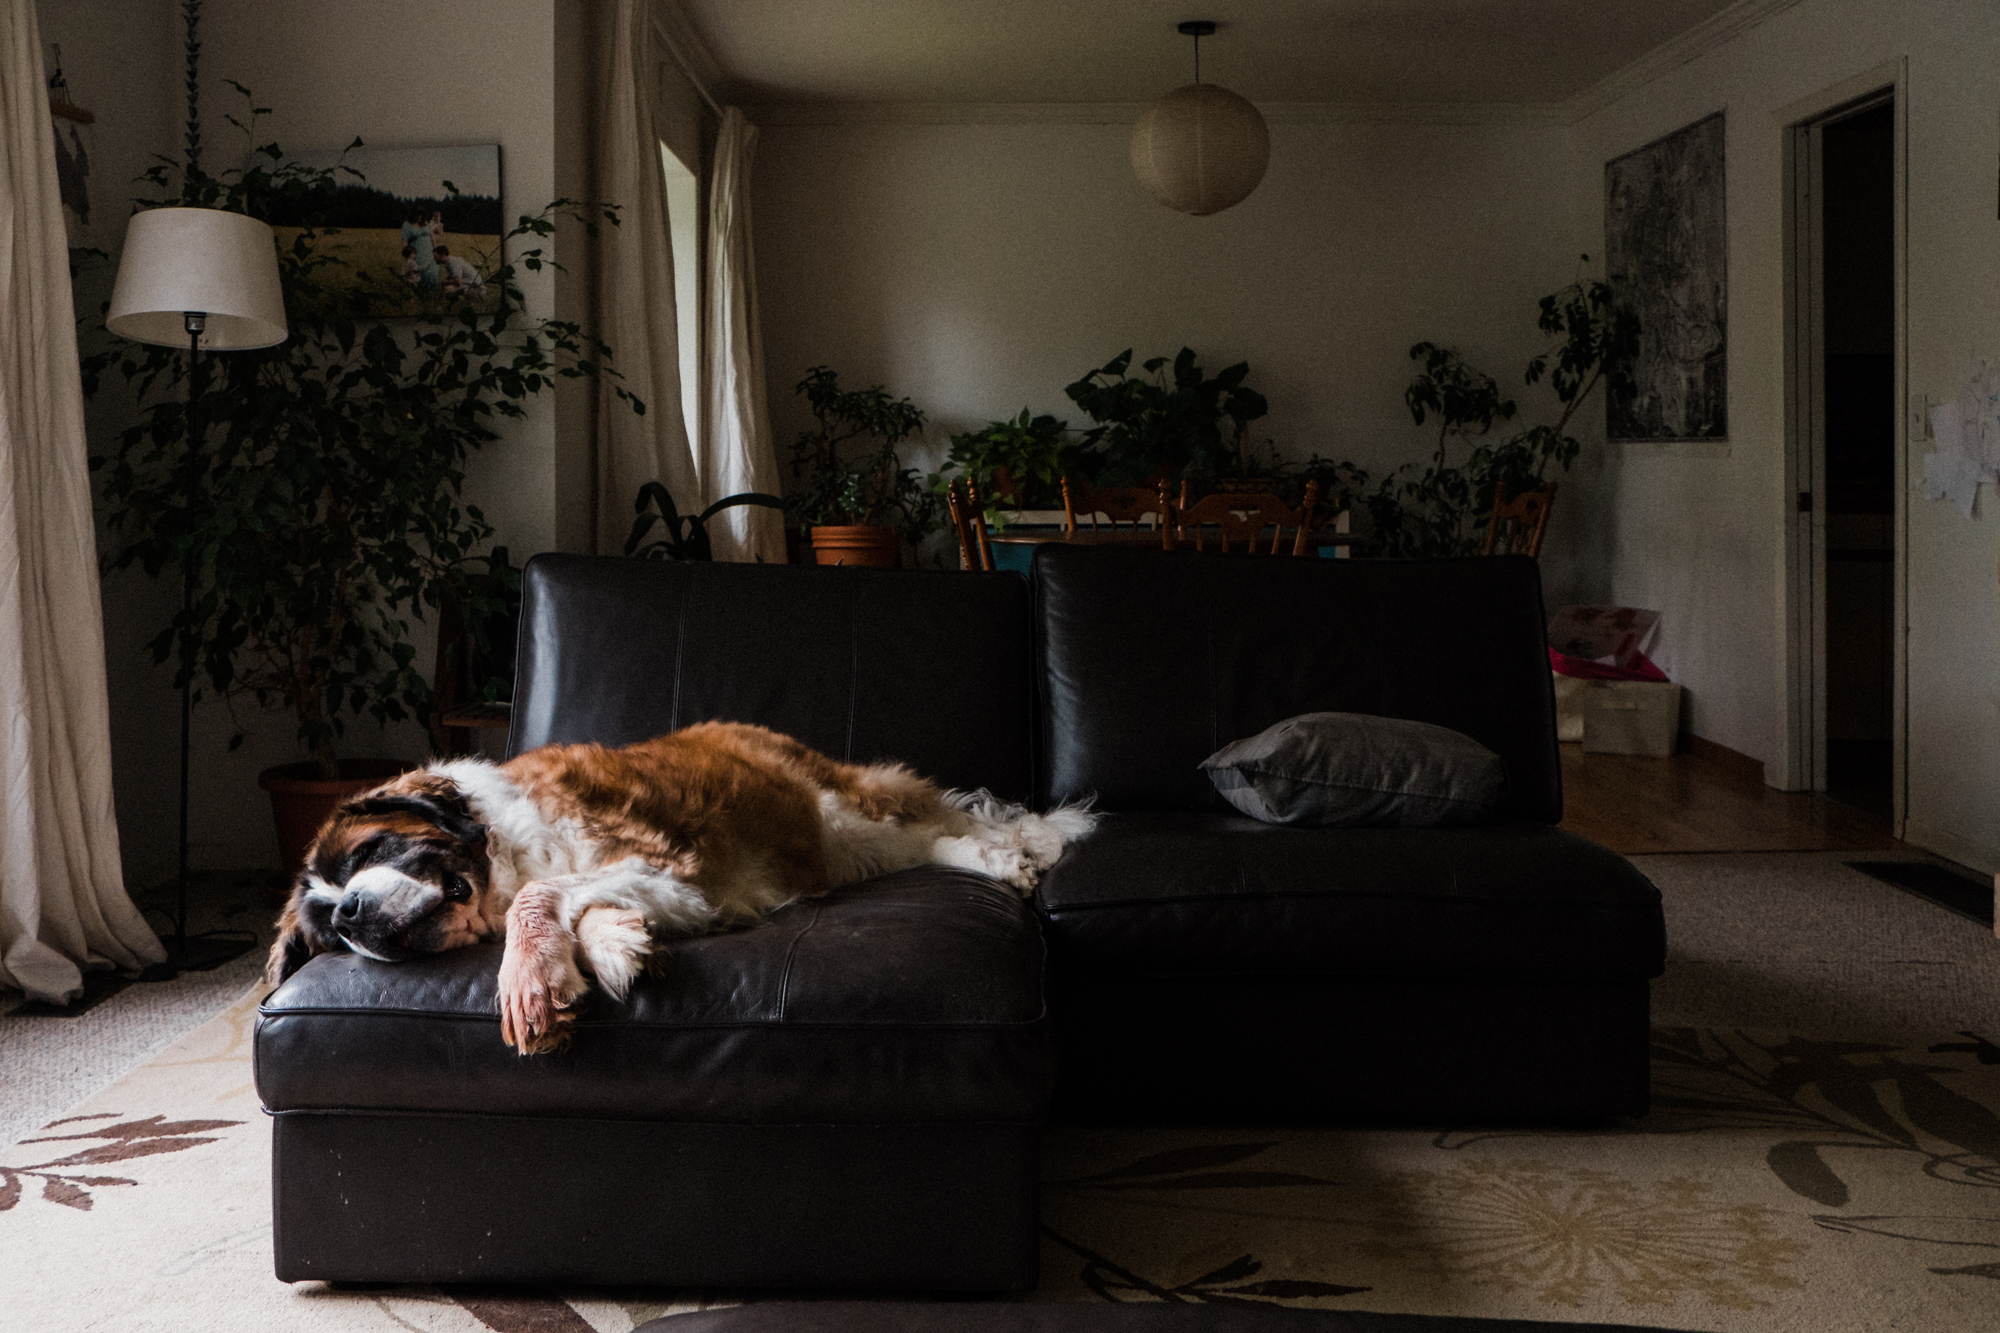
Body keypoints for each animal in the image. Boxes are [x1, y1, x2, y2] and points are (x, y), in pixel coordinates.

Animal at [266, 720, 1096, 1056]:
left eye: (373, 849)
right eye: (329, 929)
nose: (351, 913)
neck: (500, 857)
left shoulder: (663, 860)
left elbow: (545, 893)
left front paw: (530, 976)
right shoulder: (680, 883)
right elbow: (579, 900)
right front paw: (612, 945)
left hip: (840, 811)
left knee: (941, 821)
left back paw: (1013, 853)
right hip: (839, 848)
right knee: (925, 841)